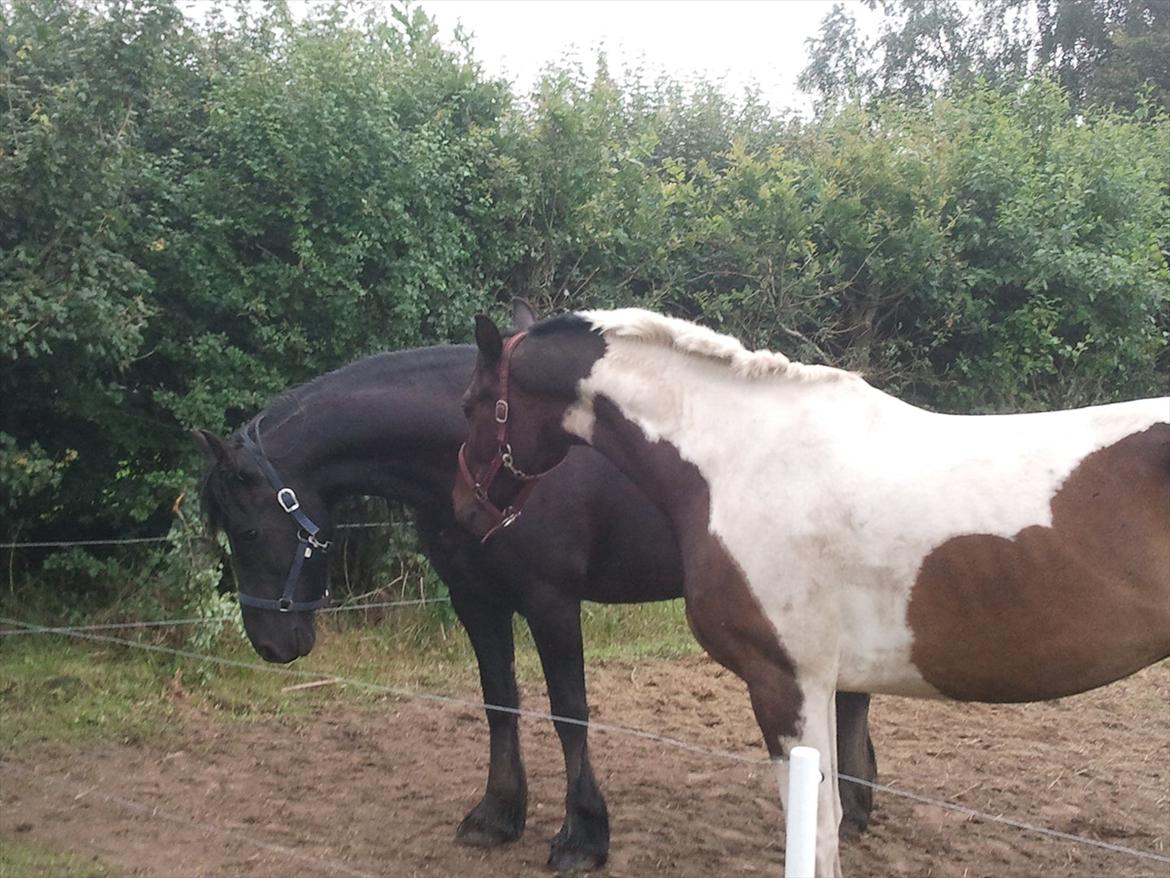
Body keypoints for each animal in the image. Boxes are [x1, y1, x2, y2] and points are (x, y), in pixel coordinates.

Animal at [194, 306, 879, 870]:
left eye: (248, 530)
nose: (271, 642)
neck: (462, 456)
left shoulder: (552, 601)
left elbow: (568, 711)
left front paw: (583, 836)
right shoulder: (476, 600)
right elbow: (500, 701)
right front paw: (497, 814)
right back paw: (857, 800)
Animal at [456, 306, 1170, 875]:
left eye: (470, 406)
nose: (465, 511)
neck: (740, 460)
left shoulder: (784, 681)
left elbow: (818, 829)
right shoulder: (820, 684)